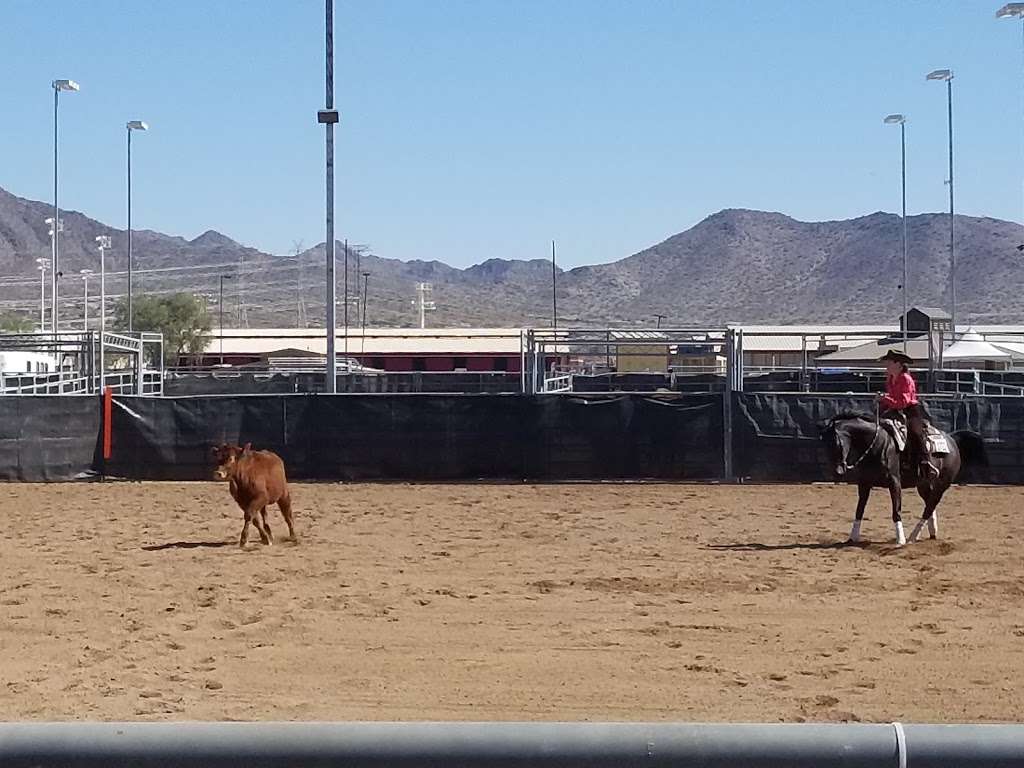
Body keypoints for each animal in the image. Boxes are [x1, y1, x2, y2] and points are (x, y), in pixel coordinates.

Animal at [815, 411, 991, 544]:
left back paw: (913, 536)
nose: (837, 471)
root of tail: (952, 439)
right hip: (923, 484)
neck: (879, 443)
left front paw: (900, 539)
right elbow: (859, 509)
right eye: (824, 445)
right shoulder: (864, 483)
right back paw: (932, 530)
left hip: (942, 484)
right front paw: (853, 536)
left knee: (930, 506)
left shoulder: (895, 482)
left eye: (836, 444)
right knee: (930, 504)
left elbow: (896, 510)